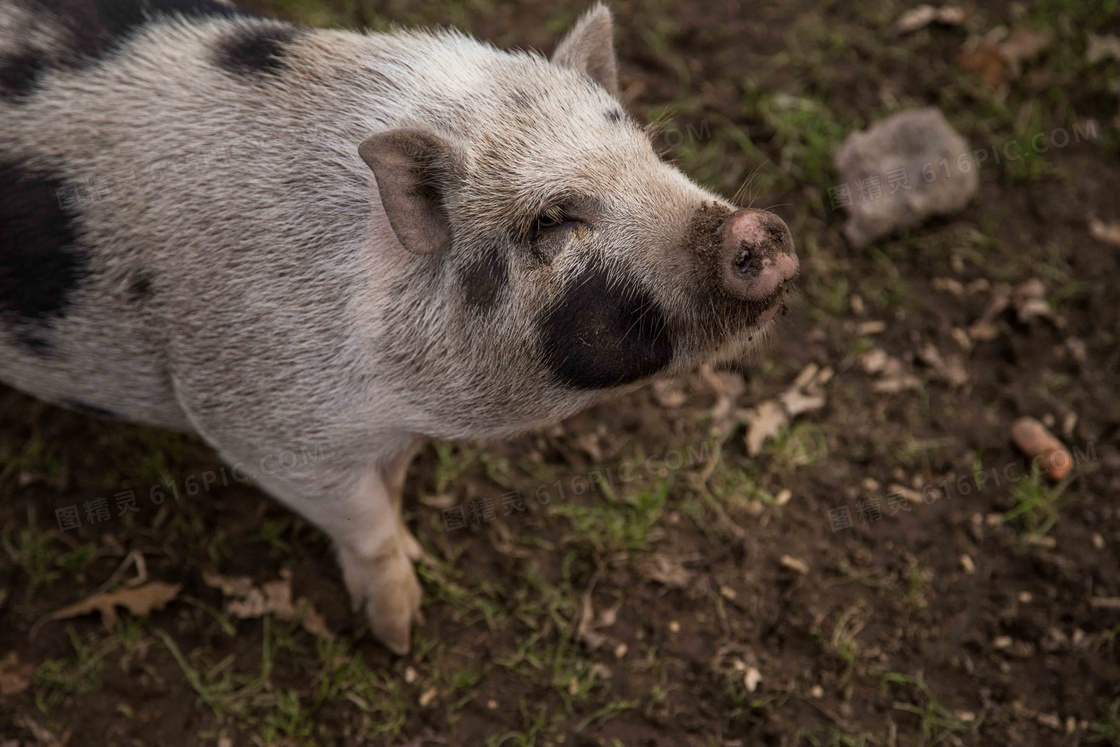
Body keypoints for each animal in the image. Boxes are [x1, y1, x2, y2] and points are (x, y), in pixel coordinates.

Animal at [0, 1, 797, 654]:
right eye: (552, 220)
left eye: (651, 154)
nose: (756, 228)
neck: (399, 395)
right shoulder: (259, 423)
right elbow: (364, 520)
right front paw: (400, 630)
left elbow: (394, 483)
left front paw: (418, 557)